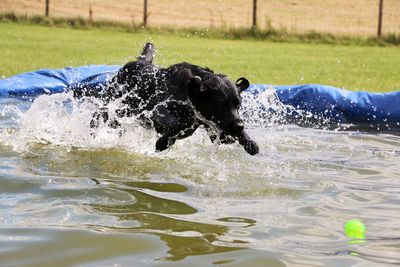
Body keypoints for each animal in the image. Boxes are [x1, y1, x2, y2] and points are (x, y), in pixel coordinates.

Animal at [77, 43, 260, 156]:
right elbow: (177, 125)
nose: (239, 125)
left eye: (238, 105)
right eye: (220, 105)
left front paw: (249, 142)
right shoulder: (159, 111)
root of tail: (135, 63)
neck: (189, 91)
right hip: (114, 104)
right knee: (100, 114)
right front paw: (163, 142)